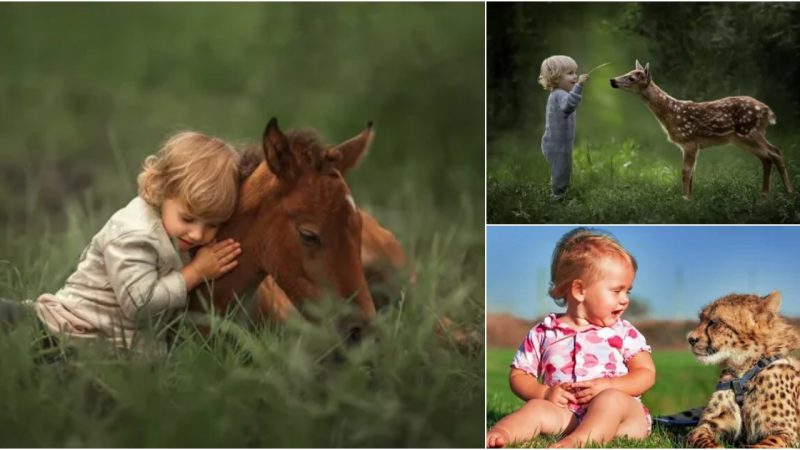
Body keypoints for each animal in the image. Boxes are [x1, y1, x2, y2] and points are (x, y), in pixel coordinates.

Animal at [684, 292, 796, 446]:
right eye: (701, 319)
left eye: (714, 322)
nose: (690, 339)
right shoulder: (705, 424)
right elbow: (703, 440)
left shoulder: (788, 432)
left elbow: (764, 445)